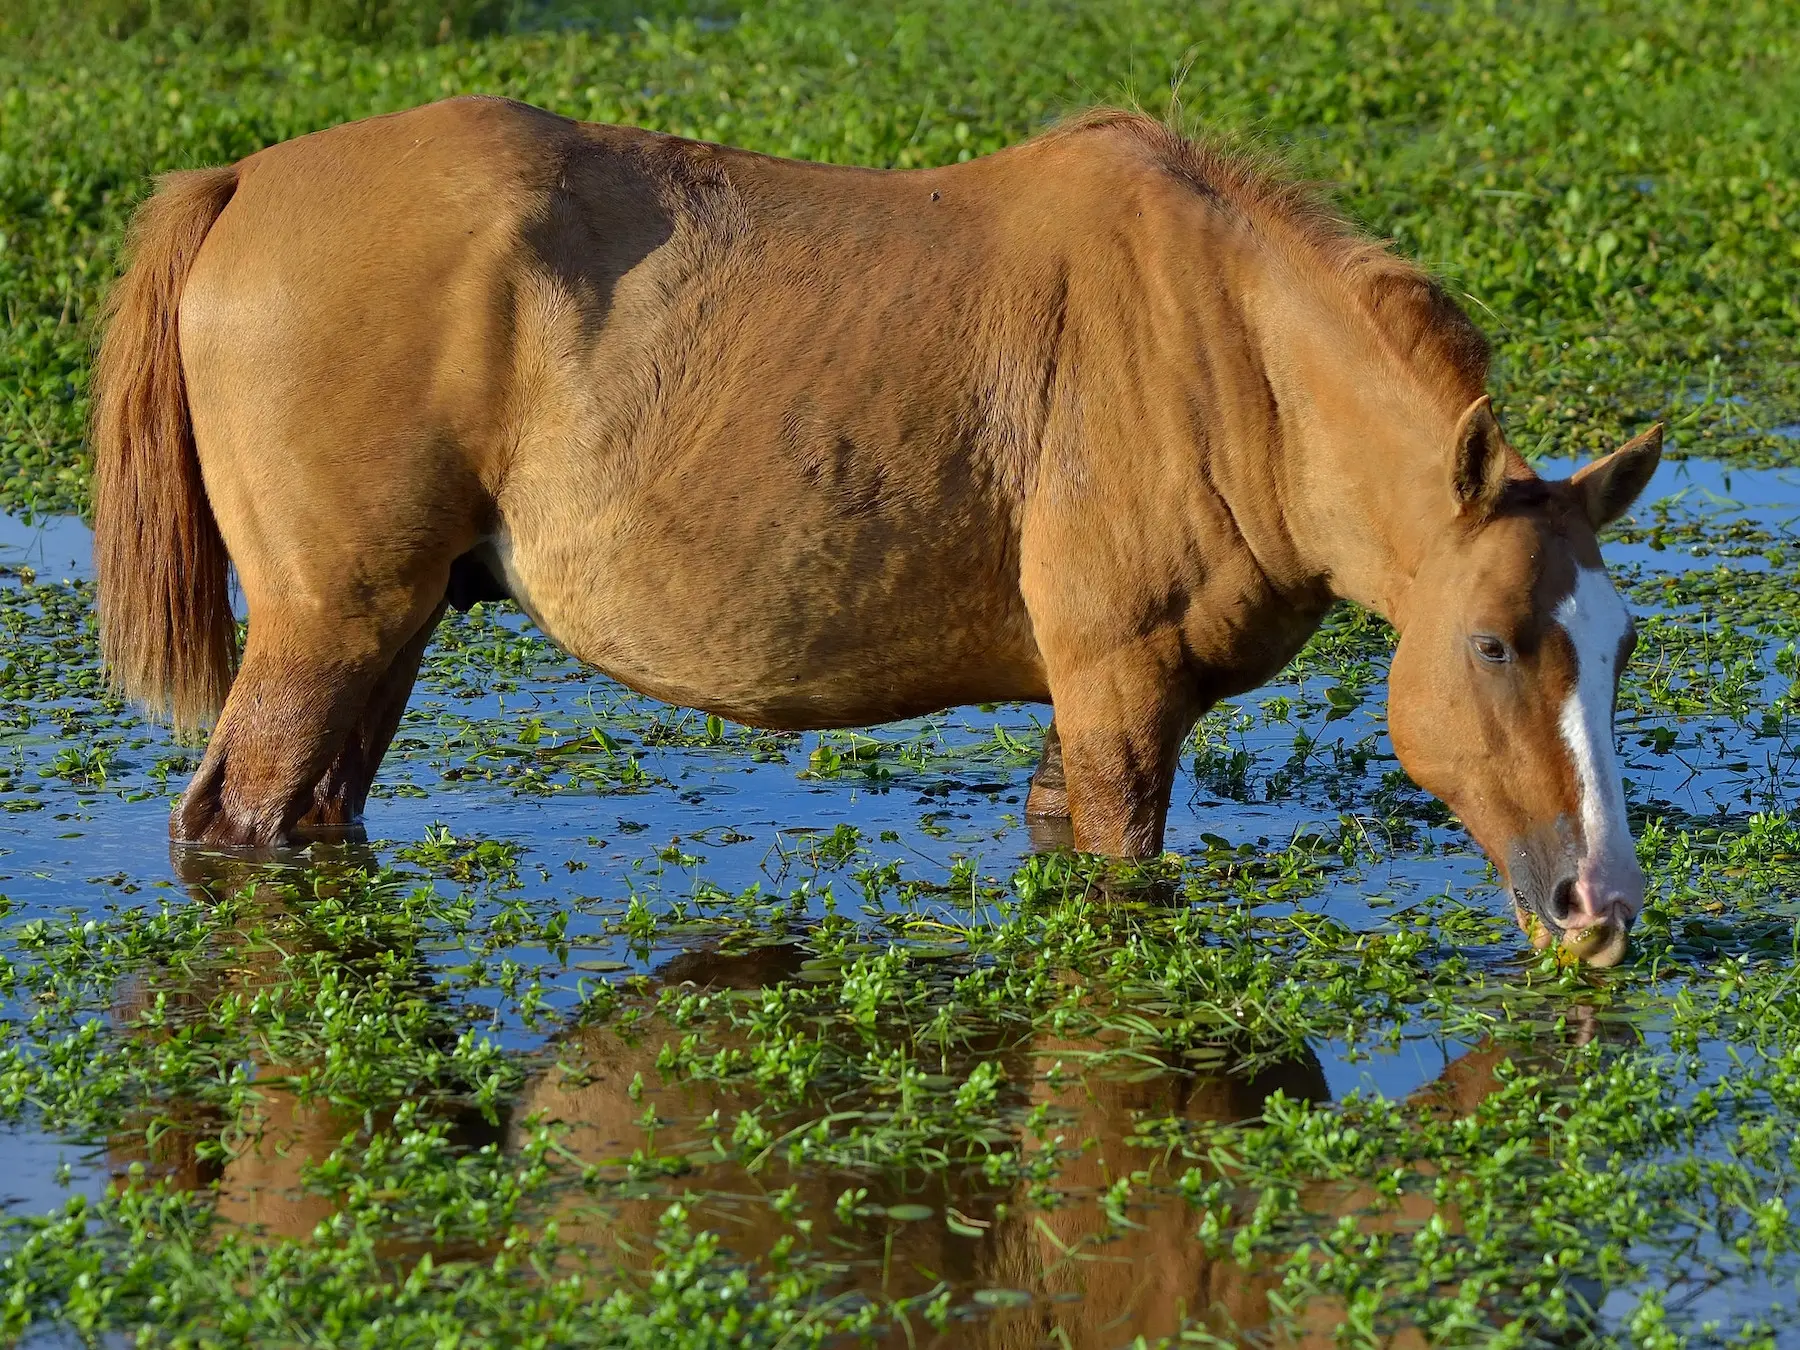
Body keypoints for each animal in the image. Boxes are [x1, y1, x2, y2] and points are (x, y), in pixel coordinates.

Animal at [84, 103, 1656, 964]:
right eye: (1495, 644)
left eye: (1620, 649)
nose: (1601, 900)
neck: (1232, 358)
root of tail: (240, 183)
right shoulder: (1121, 696)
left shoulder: (1092, 711)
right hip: (325, 626)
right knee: (238, 826)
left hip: (388, 630)